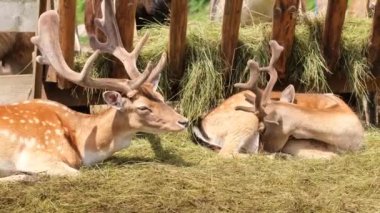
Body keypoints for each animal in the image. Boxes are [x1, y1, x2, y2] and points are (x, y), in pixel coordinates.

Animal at [0, 0, 189, 183]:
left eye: (161, 97)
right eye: (143, 107)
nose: (184, 121)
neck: (83, 146)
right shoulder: (36, 156)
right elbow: (77, 173)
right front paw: (27, 175)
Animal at [194, 40, 364, 160]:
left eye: (263, 129)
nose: (263, 148)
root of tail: (201, 125)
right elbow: (330, 156)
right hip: (245, 119)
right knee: (226, 152)